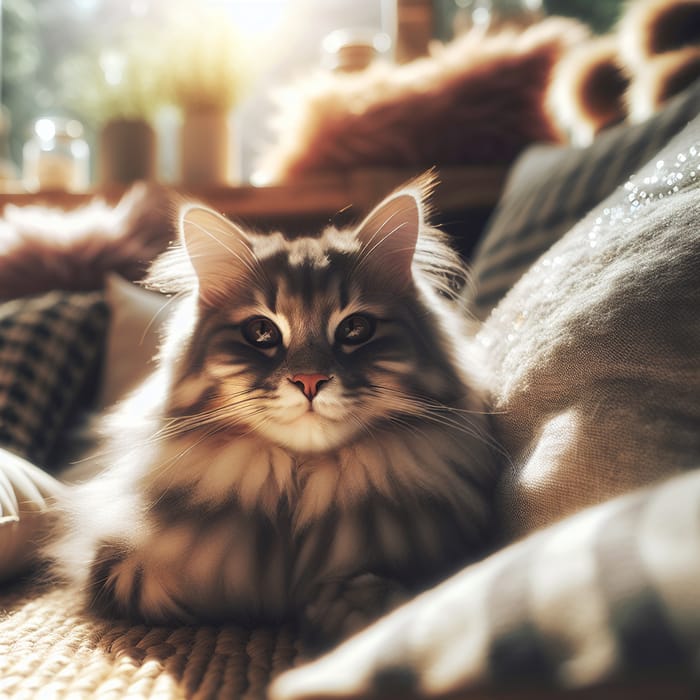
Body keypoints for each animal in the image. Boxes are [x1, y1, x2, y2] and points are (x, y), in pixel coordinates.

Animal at [47, 176, 498, 652]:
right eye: (261, 332)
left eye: (356, 329)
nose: (310, 380)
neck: (298, 487)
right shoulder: (107, 559)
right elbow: (178, 585)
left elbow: (387, 589)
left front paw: (347, 606)